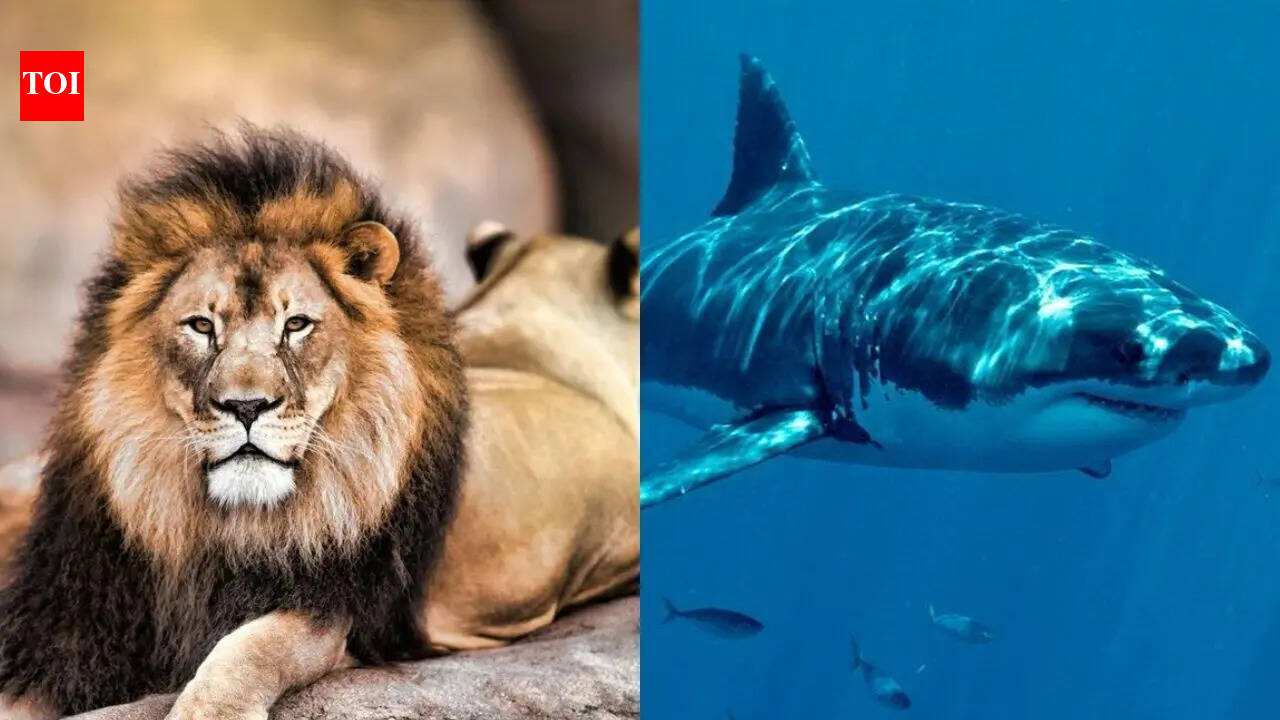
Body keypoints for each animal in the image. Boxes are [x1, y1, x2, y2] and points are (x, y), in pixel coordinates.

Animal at [0, 128, 468, 719]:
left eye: (296, 324)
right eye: (202, 325)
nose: (247, 406)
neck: (233, 527)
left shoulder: (338, 607)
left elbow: (253, 645)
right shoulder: (64, 629)